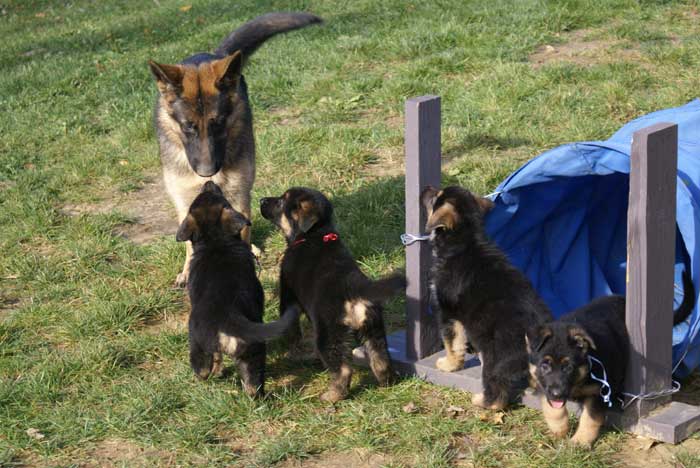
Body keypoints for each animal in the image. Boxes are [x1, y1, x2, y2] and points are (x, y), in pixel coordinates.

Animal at [176, 181, 300, 396]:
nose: (208, 182)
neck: (215, 240)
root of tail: (226, 319)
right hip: (251, 350)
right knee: (250, 384)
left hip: (200, 346)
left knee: (204, 370)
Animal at [418, 186, 556, 410]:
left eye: (435, 197)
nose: (426, 188)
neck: (467, 242)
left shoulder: (448, 313)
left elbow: (452, 344)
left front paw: (448, 365)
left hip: (495, 358)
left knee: (497, 394)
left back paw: (480, 400)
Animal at [532, 270, 696, 446]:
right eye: (545, 366)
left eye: (568, 368)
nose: (557, 394)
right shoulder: (544, 385)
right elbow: (552, 409)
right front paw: (559, 430)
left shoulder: (599, 391)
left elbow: (590, 417)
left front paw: (580, 441)